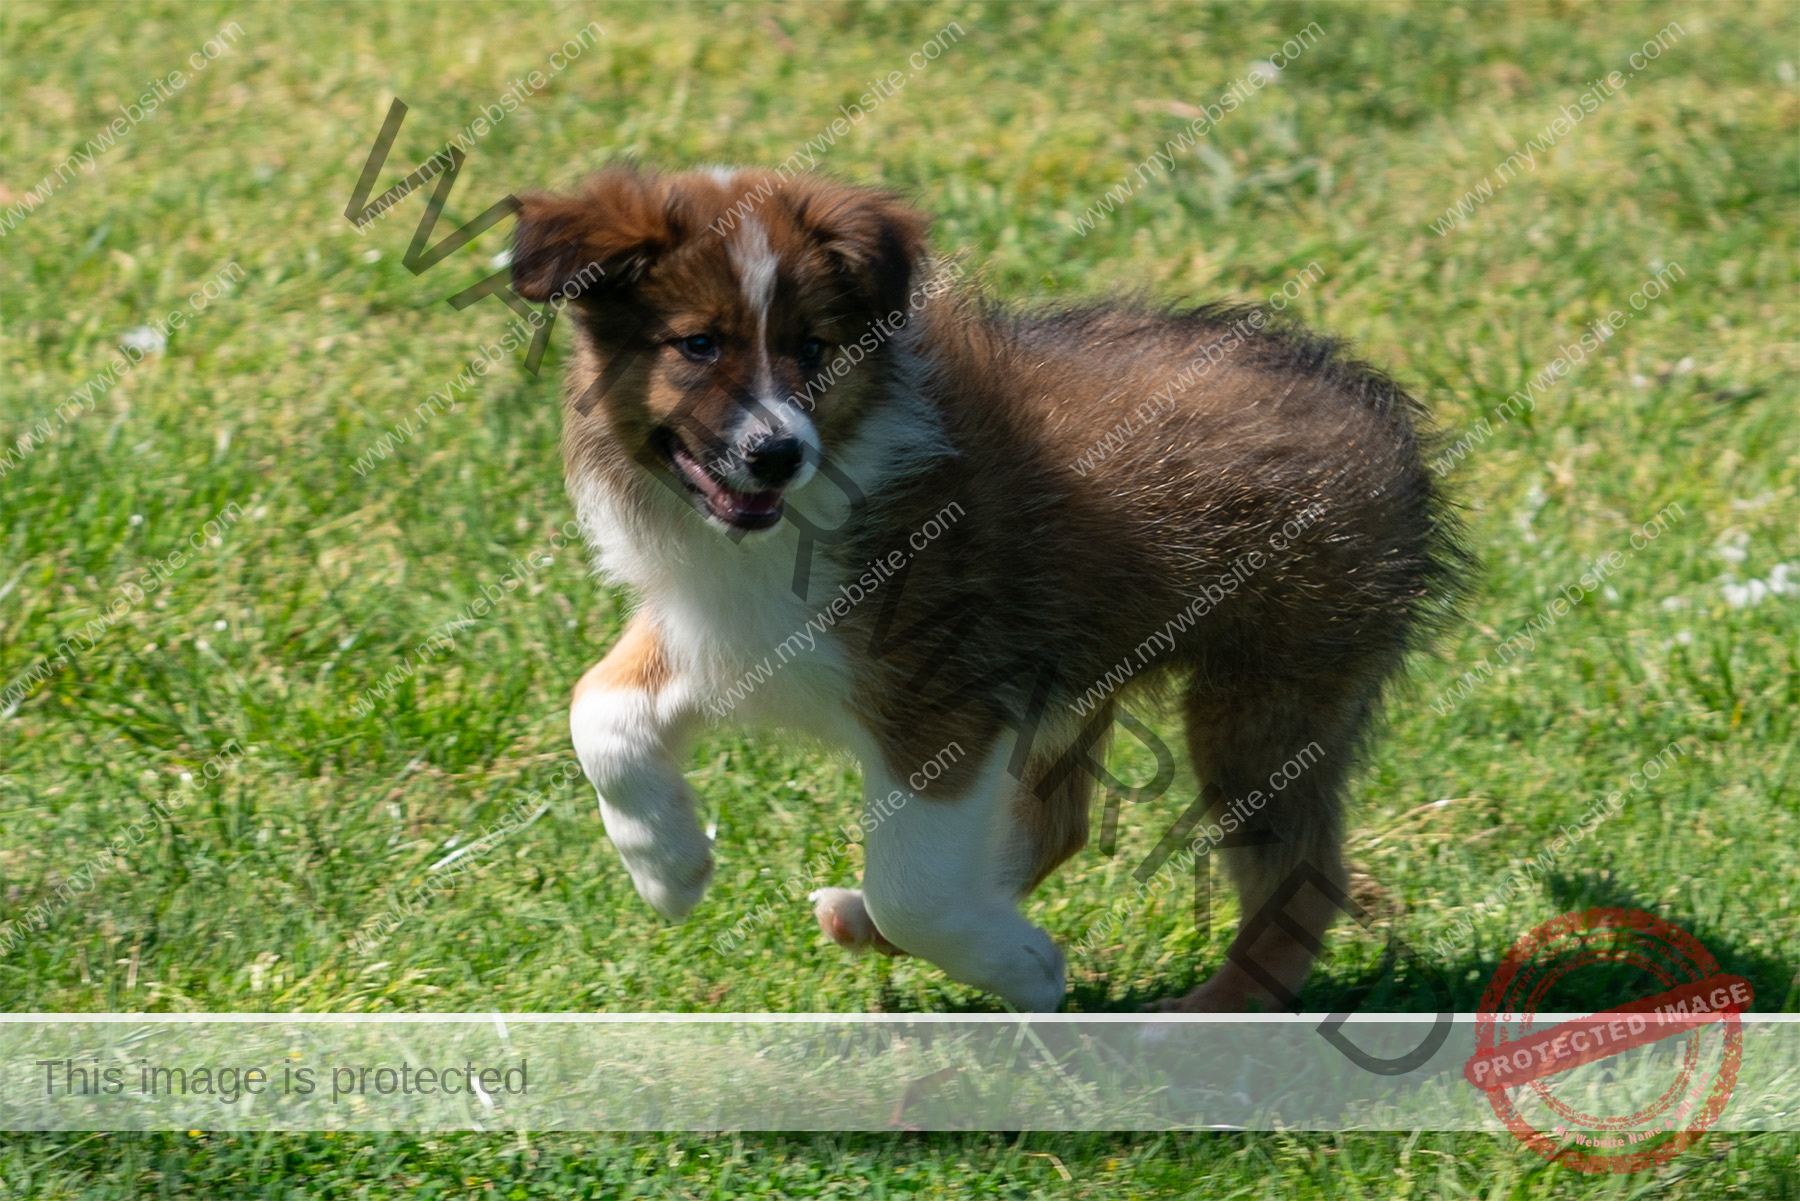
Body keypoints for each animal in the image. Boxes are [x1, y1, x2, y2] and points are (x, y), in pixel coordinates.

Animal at [507, 166, 1461, 1015]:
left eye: (813, 347)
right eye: (698, 344)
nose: (778, 454)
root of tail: (1379, 410)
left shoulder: (945, 699)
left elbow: (915, 884)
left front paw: (1026, 968)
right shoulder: (727, 631)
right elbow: (598, 709)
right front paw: (668, 867)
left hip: (1265, 695)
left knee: (1303, 876)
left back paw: (1209, 1011)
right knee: (1065, 820)